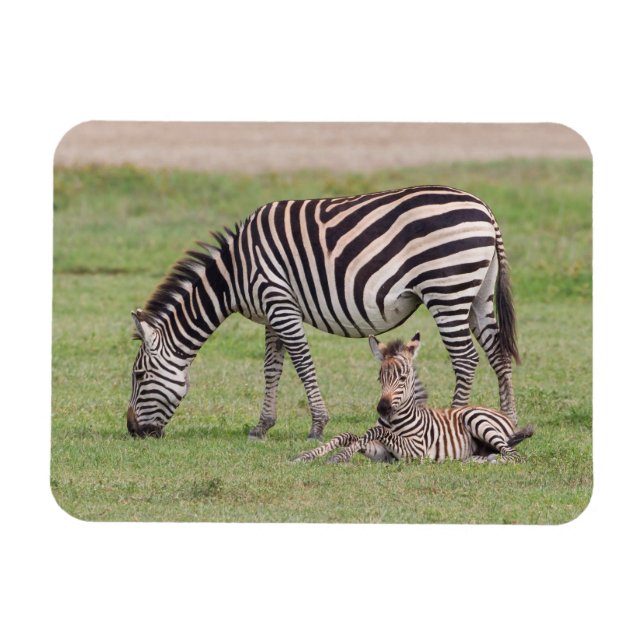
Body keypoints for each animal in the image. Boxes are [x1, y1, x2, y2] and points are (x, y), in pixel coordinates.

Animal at [127, 185, 520, 439]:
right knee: (497, 354)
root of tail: (484, 209)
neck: (234, 274)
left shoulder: (279, 302)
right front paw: (262, 426)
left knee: (466, 359)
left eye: (139, 376)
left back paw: (457, 420)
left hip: (446, 290)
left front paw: (317, 425)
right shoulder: (272, 314)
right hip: (477, 294)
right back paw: (510, 420)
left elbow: (302, 363)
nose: (131, 430)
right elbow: (272, 369)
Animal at [292, 333, 534, 464]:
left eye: (402, 378)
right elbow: (348, 435)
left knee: (514, 456)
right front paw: (307, 455)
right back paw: (474, 458)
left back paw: (479, 461)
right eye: (379, 378)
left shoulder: (415, 451)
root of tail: (504, 416)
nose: (383, 409)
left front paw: (339, 457)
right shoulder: (383, 454)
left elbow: (375, 430)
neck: (396, 420)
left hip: (477, 420)